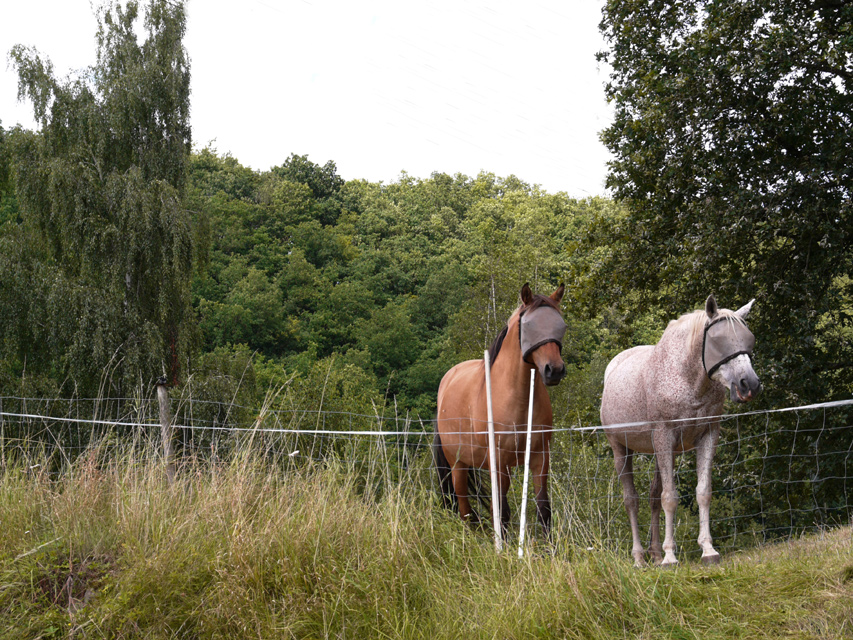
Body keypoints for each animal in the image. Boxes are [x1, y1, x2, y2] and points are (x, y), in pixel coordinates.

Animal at [432, 282, 564, 536]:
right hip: (458, 465)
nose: (554, 370)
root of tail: (447, 380)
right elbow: (502, 511)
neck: (517, 397)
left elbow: (543, 508)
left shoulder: (539, 457)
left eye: (560, 324)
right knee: (465, 508)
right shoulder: (499, 461)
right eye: (529, 325)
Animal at [600, 296, 760, 564]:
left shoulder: (708, 435)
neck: (688, 377)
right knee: (631, 501)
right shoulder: (664, 436)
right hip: (620, 448)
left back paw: (654, 553)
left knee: (653, 496)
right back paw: (639, 558)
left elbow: (702, 492)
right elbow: (670, 497)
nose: (750, 384)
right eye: (718, 341)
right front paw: (669, 557)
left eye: (749, 339)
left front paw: (708, 550)